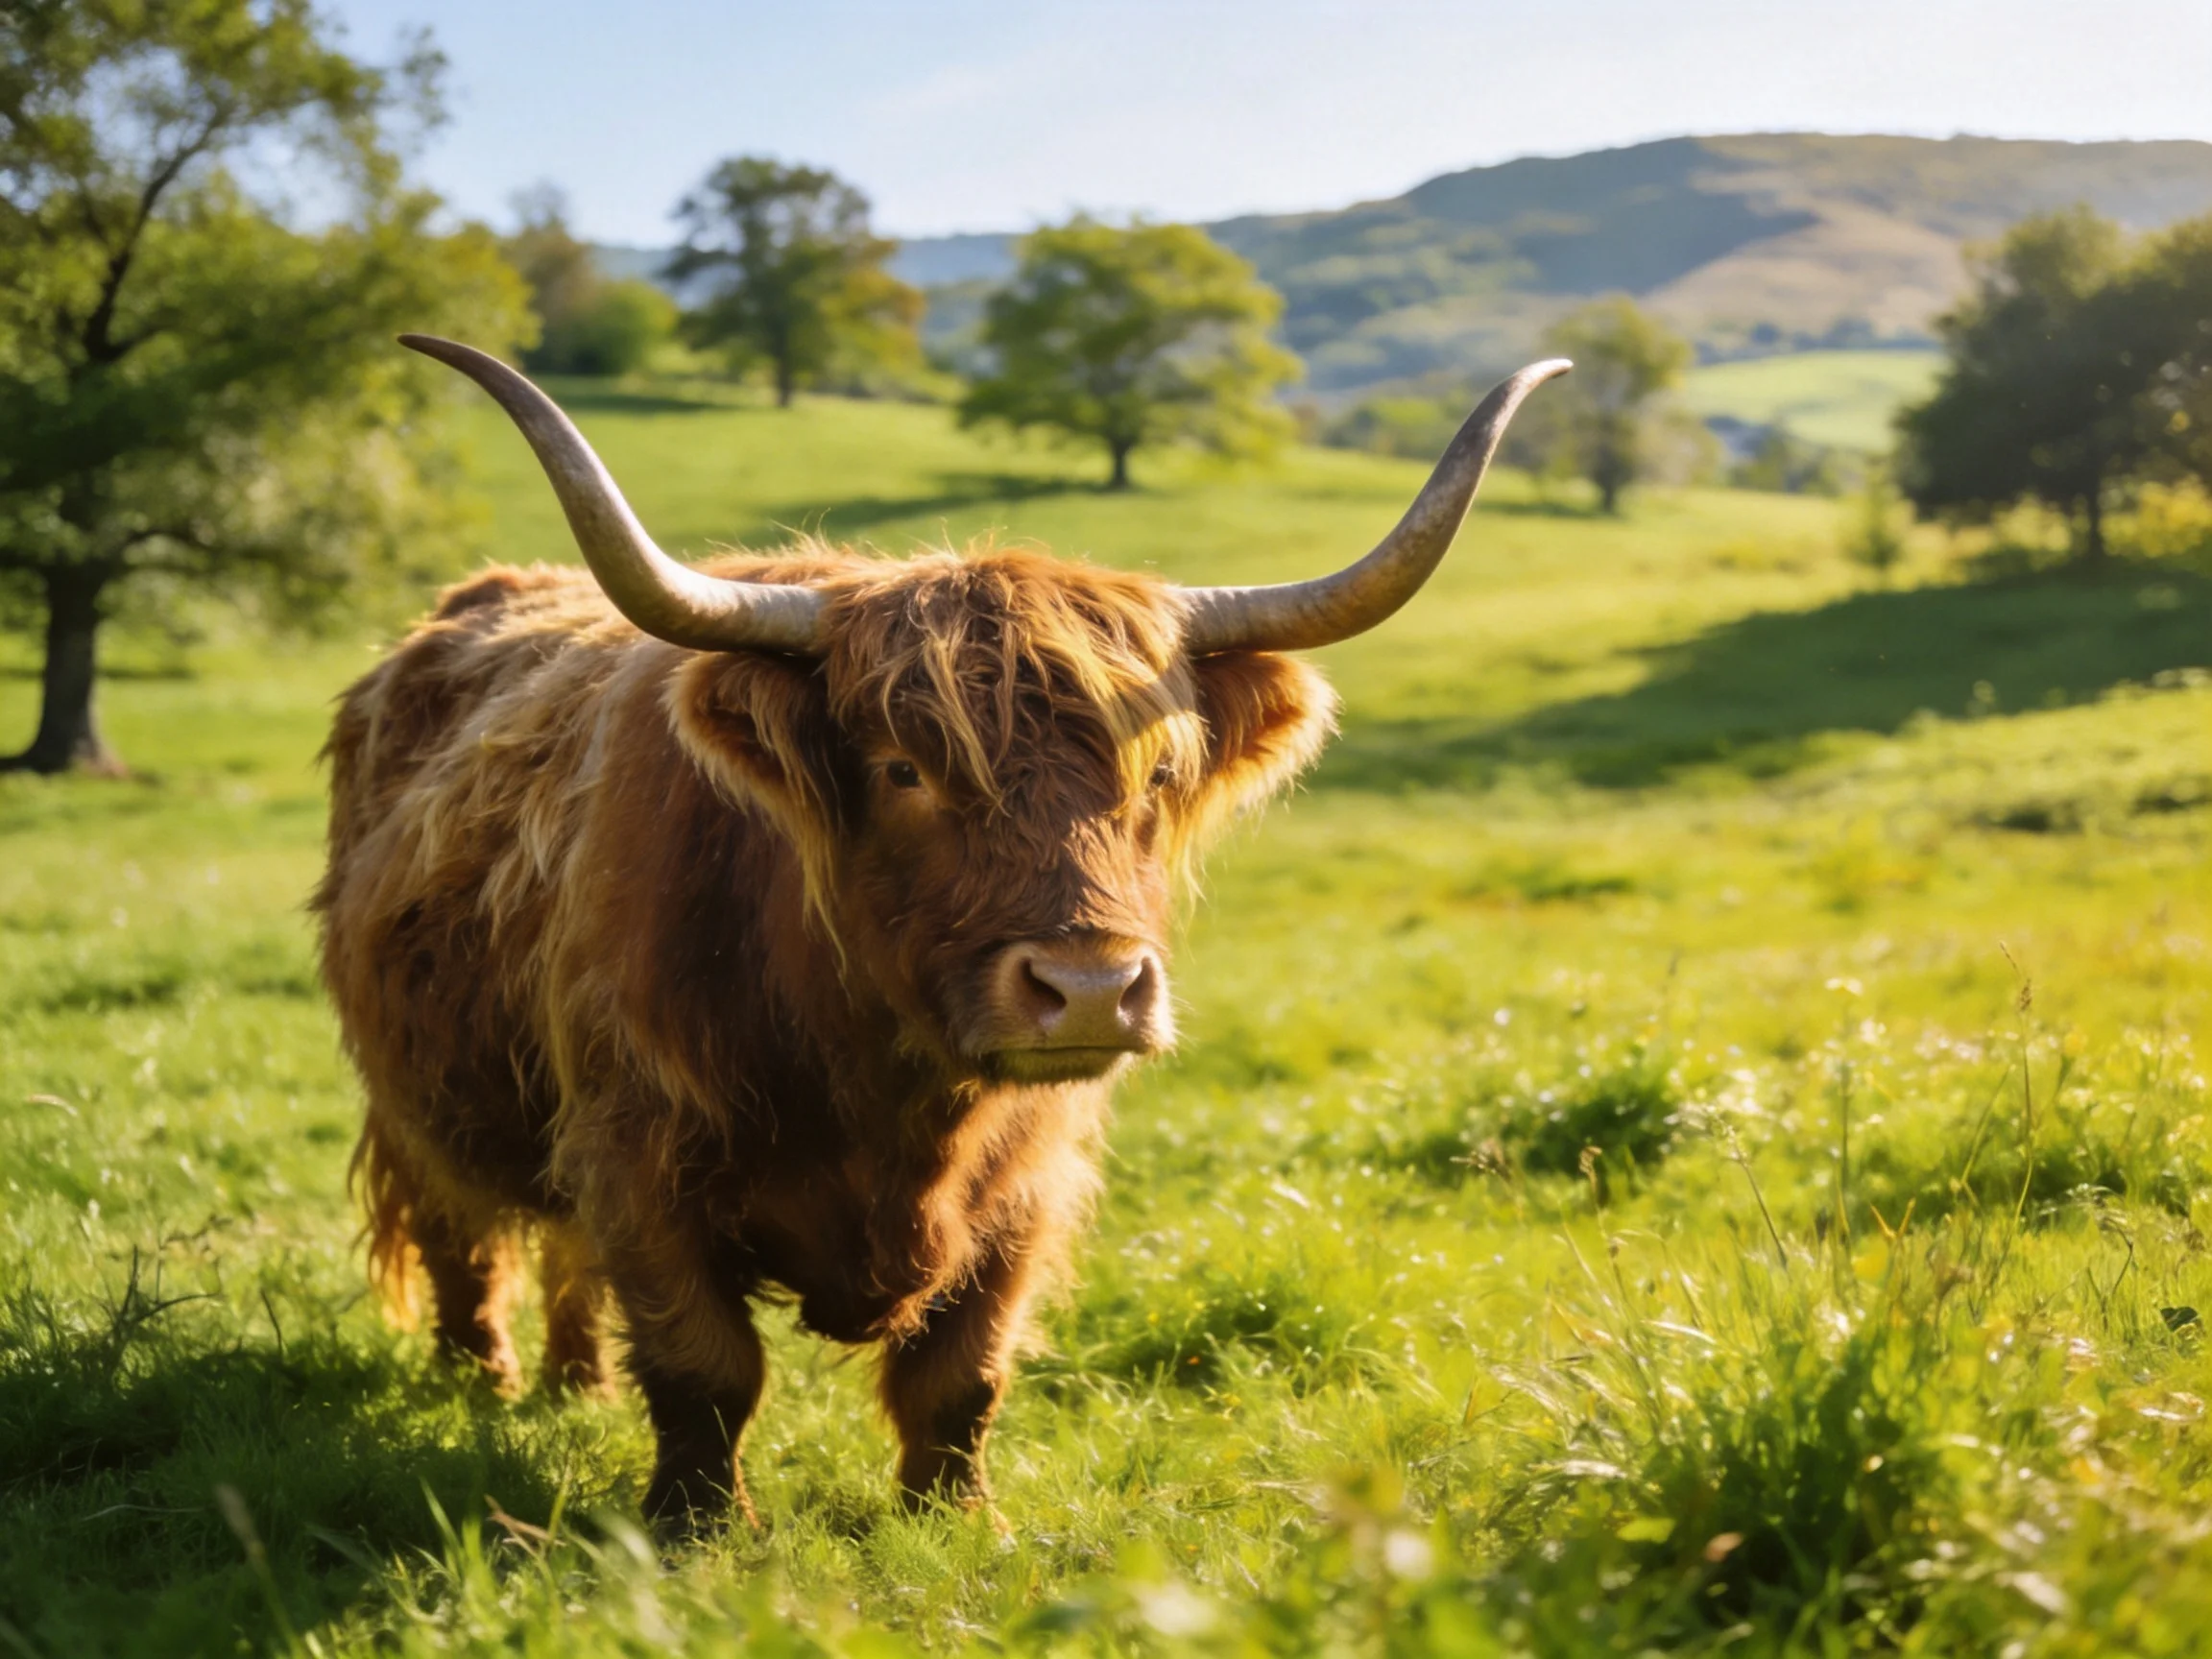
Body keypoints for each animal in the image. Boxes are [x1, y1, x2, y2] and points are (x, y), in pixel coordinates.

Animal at [313, 335, 1564, 1529]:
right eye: (903, 770)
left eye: (1159, 771)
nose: (1091, 988)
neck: (880, 1083)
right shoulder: (638, 1146)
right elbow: (704, 1366)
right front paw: (696, 1531)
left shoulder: (1029, 1179)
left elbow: (962, 1373)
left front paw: (956, 1521)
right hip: (410, 1092)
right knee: (461, 1232)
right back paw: (481, 1380)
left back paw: (577, 1383)